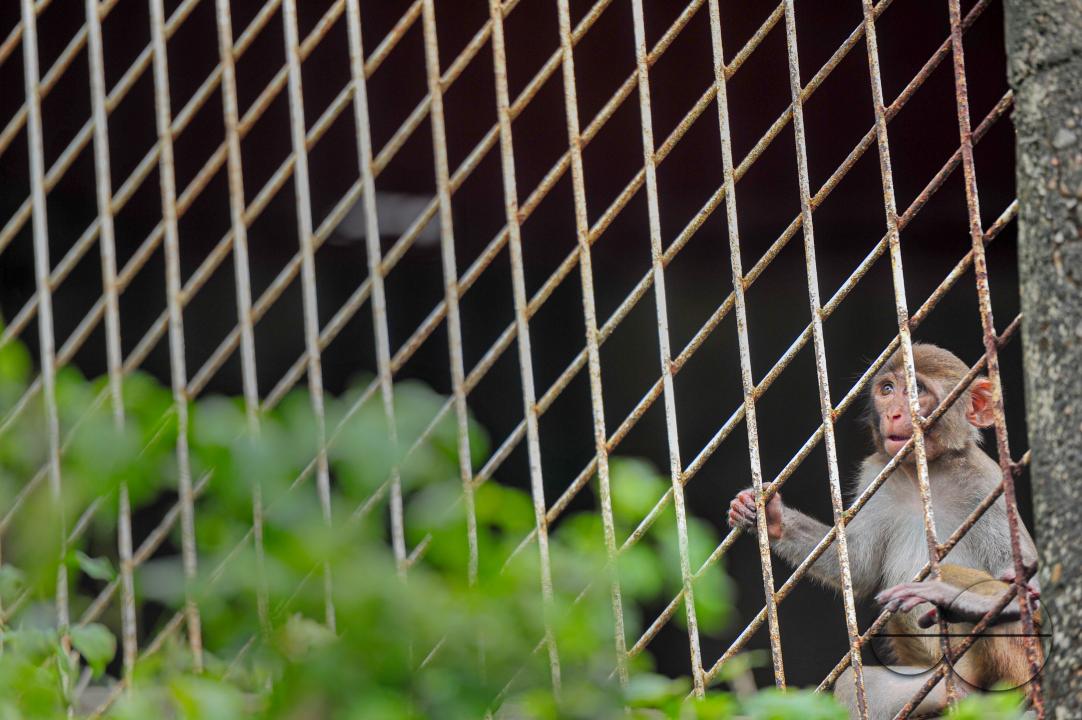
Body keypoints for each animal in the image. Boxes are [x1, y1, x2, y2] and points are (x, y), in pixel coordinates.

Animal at [726, 343, 1040, 719]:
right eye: (887, 390)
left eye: (916, 389)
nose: (892, 414)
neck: (925, 476)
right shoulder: (877, 475)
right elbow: (858, 568)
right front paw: (769, 516)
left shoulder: (987, 486)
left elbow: (1025, 583)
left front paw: (952, 596)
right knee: (855, 685)